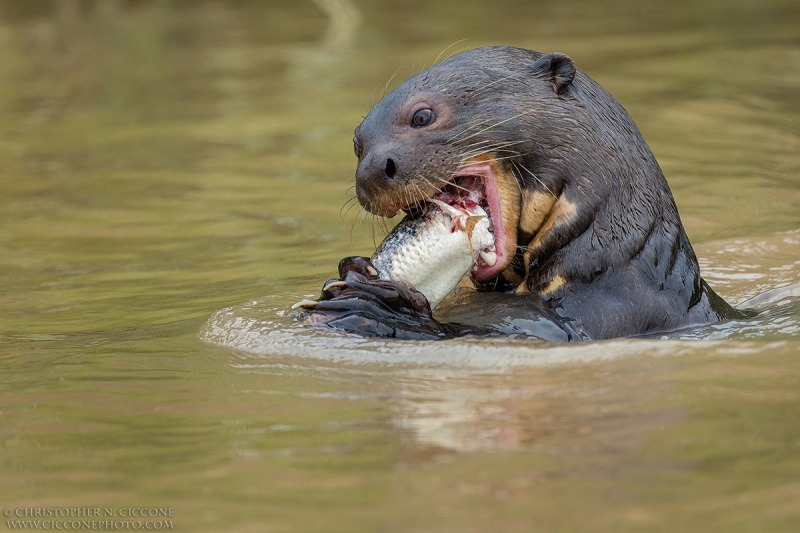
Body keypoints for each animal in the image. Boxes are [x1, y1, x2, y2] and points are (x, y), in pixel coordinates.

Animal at [296, 43, 748, 338]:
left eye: (422, 116)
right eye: (357, 143)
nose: (372, 171)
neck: (616, 260)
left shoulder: (619, 310)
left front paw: (375, 302)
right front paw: (351, 273)